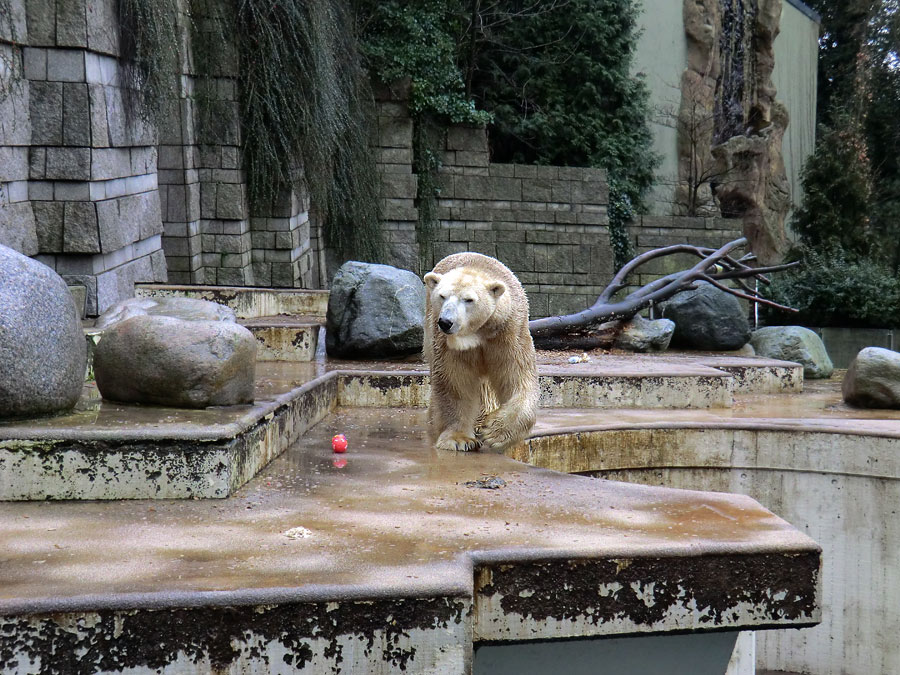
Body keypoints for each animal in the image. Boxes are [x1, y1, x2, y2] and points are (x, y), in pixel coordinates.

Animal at [424, 254, 536, 454]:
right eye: (442, 296)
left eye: (468, 299)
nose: (446, 322)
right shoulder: (449, 346)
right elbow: (454, 382)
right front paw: (458, 439)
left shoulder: (509, 334)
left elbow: (517, 379)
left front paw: (494, 432)